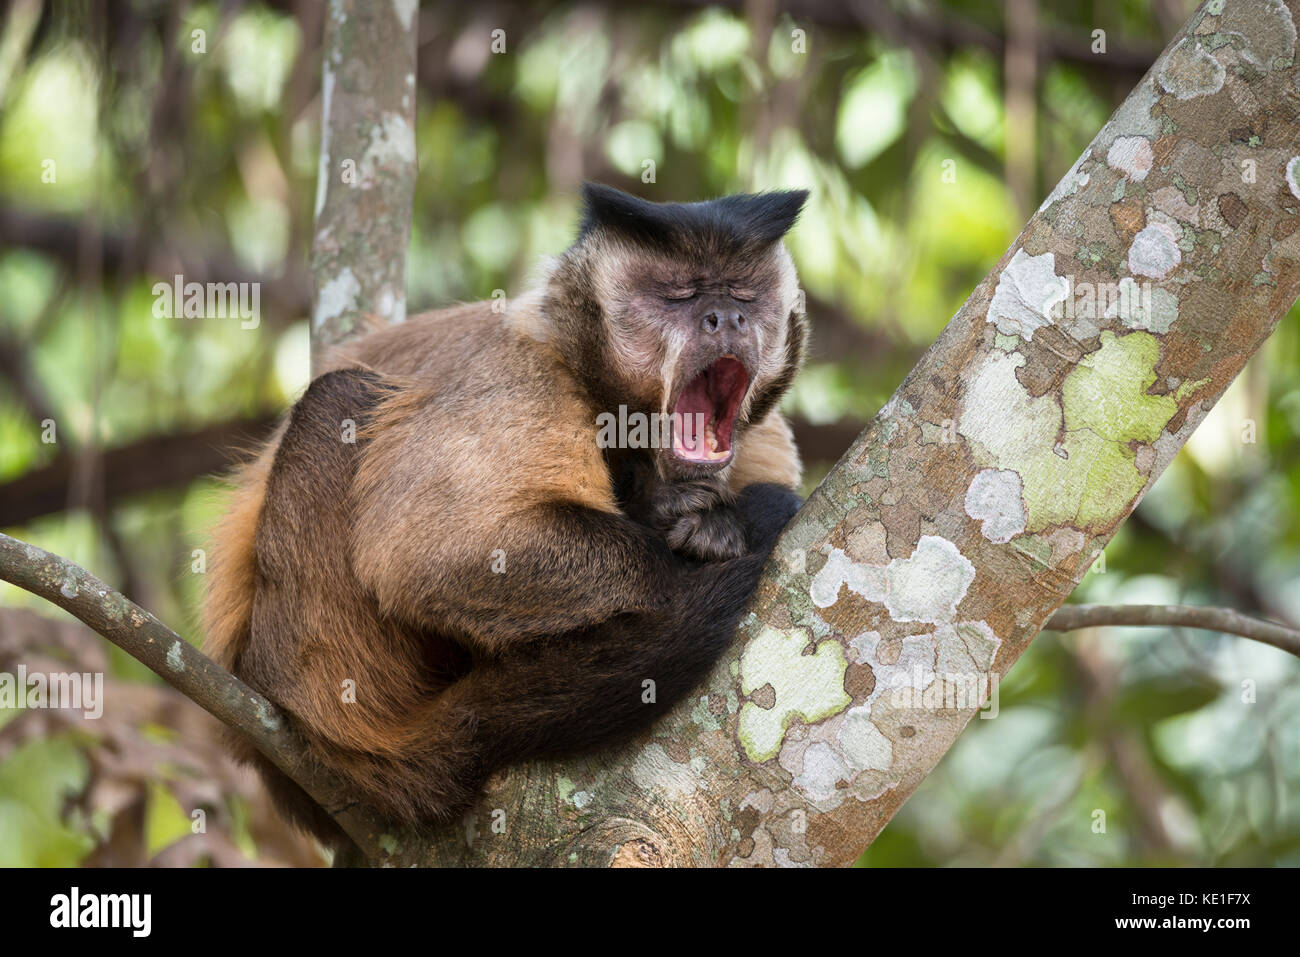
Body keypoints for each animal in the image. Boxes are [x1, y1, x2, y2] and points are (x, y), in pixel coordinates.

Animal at [204, 180, 806, 842]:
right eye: (680, 294)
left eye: (744, 294)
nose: (727, 318)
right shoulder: (528, 373)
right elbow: (419, 555)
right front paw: (678, 534)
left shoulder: (762, 433)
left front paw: (703, 521)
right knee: (338, 399)